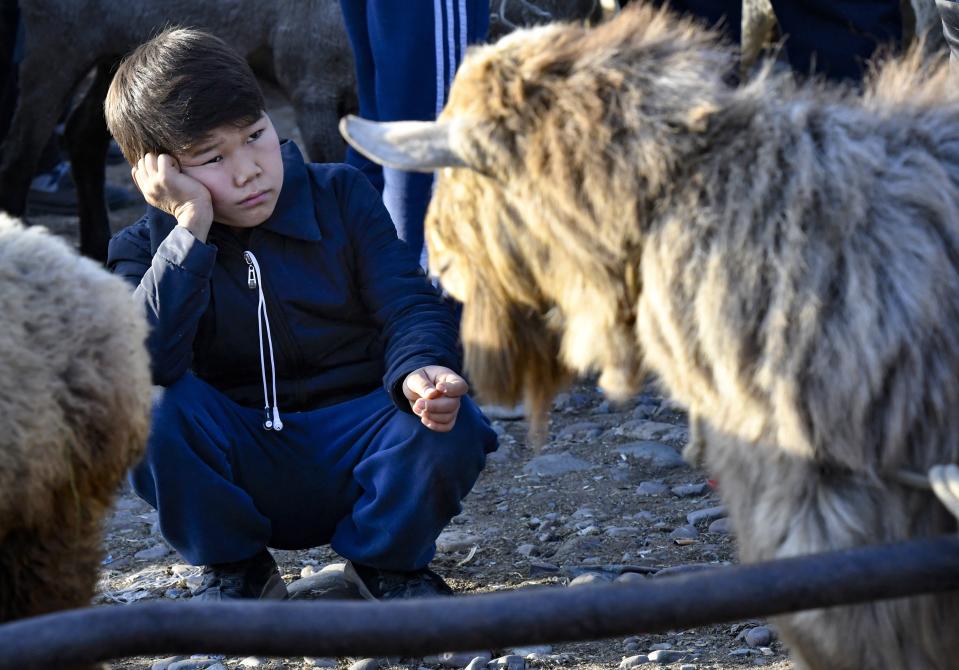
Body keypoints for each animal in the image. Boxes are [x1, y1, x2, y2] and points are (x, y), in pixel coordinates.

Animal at [0, 0, 356, 262]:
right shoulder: (314, 88)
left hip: (114, 54)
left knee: (82, 135)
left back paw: (98, 249)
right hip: (57, 44)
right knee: (20, 154)